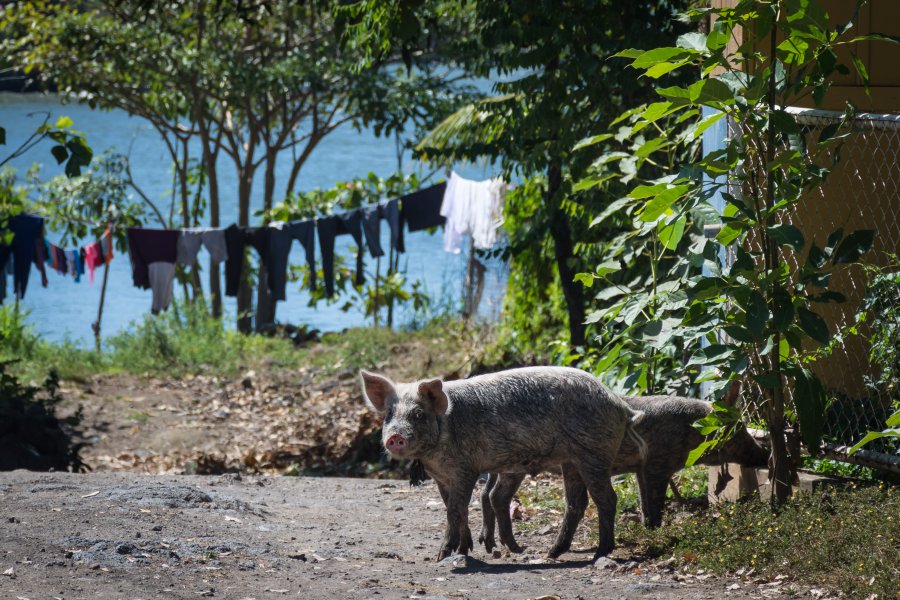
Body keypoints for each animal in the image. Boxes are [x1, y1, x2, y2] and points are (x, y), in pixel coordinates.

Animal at [360, 366, 648, 564]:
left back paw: (599, 553)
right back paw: (551, 553)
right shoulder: (441, 478)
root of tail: (621, 406)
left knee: (606, 499)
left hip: (594, 454)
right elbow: (457, 509)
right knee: (577, 503)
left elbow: (455, 510)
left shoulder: (465, 469)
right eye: (389, 415)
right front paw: (464, 550)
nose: (394, 437)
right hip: (572, 461)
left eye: (418, 414)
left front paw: (441, 556)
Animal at [478, 386, 768, 556]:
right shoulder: (657, 464)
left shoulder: (640, 468)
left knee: (485, 495)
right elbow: (655, 500)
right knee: (496, 496)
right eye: (739, 431)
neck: (690, 432)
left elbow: (643, 500)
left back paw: (490, 544)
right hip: (512, 467)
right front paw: (653, 530)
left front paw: (647, 529)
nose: (765, 455)